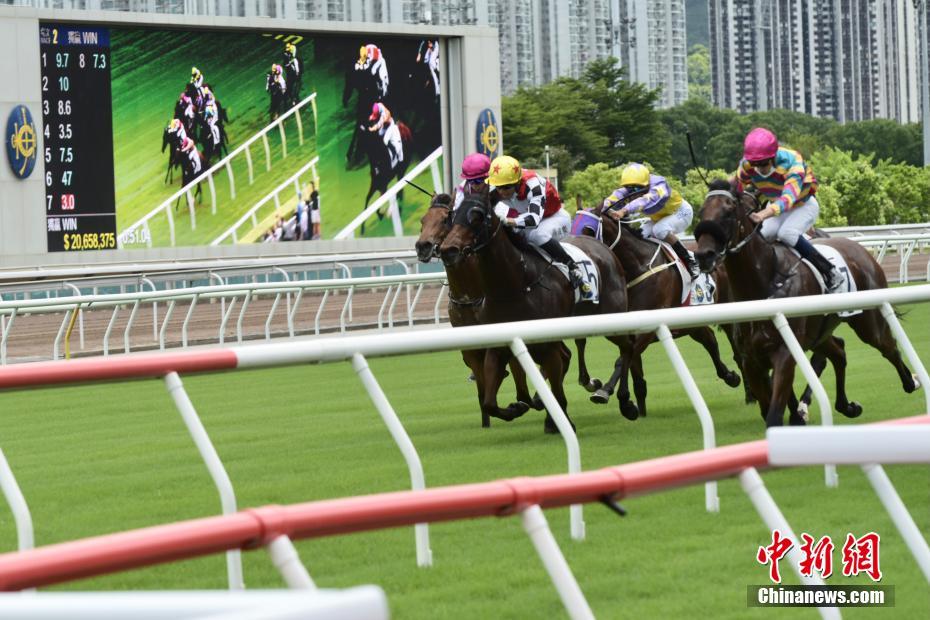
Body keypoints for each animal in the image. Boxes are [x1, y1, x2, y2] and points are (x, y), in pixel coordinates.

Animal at [420, 194, 572, 426]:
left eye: (446, 219)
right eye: (423, 220)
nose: (422, 246)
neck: (469, 294)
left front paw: (524, 402)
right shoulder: (472, 349)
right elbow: (484, 391)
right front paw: (490, 418)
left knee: (561, 356)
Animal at [438, 186, 640, 434]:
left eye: (478, 216)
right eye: (451, 216)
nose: (448, 250)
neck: (513, 286)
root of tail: (603, 248)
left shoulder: (546, 345)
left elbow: (558, 389)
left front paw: (559, 421)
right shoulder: (498, 346)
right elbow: (490, 403)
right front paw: (517, 407)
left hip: (610, 317)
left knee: (628, 347)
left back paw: (623, 401)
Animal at [568, 206, 744, 414]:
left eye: (588, 229)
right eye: (571, 226)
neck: (637, 266)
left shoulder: (647, 330)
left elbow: (622, 359)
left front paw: (606, 391)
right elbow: (633, 368)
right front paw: (633, 406)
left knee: (735, 348)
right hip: (692, 324)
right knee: (709, 340)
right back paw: (730, 376)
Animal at [688, 177, 912, 426]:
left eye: (728, 212)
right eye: (702, 212)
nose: (704, 255)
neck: (766, 282)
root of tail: (863, 253)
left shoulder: (785, 353)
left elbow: (775, 412)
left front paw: (795, 414)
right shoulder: (752, 359)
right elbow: (768, 406)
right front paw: (796, 414)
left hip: (868, 322)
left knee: (888, 346)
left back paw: (911, 381)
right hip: (818, 332)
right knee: (838, 351)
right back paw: (846, 406)